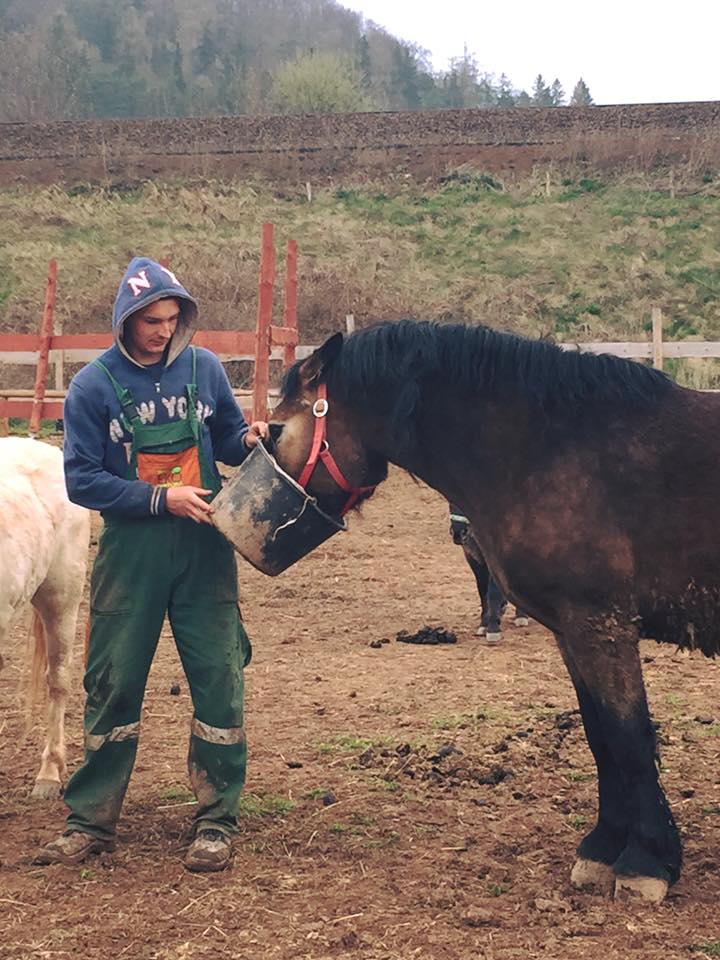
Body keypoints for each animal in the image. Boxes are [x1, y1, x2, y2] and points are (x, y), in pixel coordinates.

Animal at [448, 502, 532, 644]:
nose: (459, 534)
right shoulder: (473, 558)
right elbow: (482, 590)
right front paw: (484, 624)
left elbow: (493, 592)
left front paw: (493, 629)